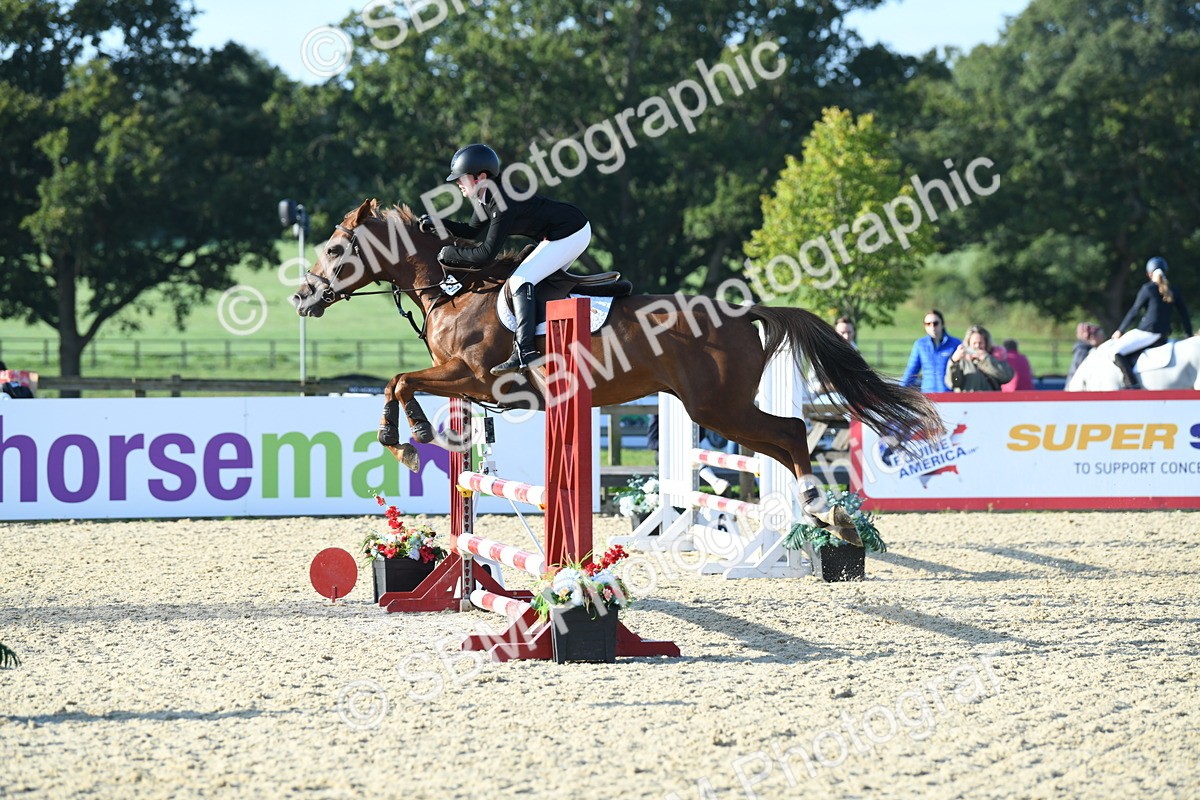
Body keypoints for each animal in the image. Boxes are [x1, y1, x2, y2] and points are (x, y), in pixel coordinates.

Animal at [291, 199, 944, 538]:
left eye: (336, 249)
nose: (301, 297)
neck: (455, 290)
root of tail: (744, 311)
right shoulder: (461, 378)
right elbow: (398, 380)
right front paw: (409, 436)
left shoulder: (475, 375)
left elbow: (401, 381)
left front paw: (410, 437)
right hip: (716, 410)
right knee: (781, 442)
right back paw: (819, 513)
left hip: (719, 407)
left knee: (788, 431)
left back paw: (819, 509)